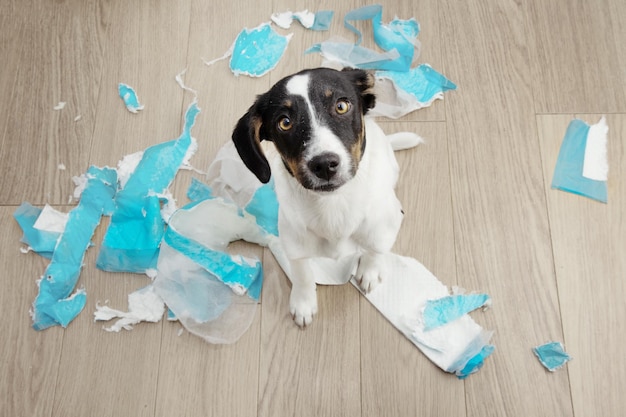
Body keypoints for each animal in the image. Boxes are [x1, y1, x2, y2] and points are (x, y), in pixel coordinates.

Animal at [230, 66, 420, 326]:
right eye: (284, 122)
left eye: (341, 106)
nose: (324, 165)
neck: (333, 206)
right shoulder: (294, 242)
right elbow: (302, 274)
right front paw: (303, 304)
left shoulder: (381, 228)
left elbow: (375, 249)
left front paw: (369, 271)